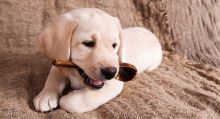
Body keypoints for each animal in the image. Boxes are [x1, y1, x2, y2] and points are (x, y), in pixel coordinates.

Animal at [33, 7, 162, 113]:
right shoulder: (59, 62)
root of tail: (151, 33)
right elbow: (53, 77)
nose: (111, 73)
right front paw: (45, 96)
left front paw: (66, 97)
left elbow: (71, 101)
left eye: (114, 45)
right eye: (88, 43)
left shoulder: (114, 83)